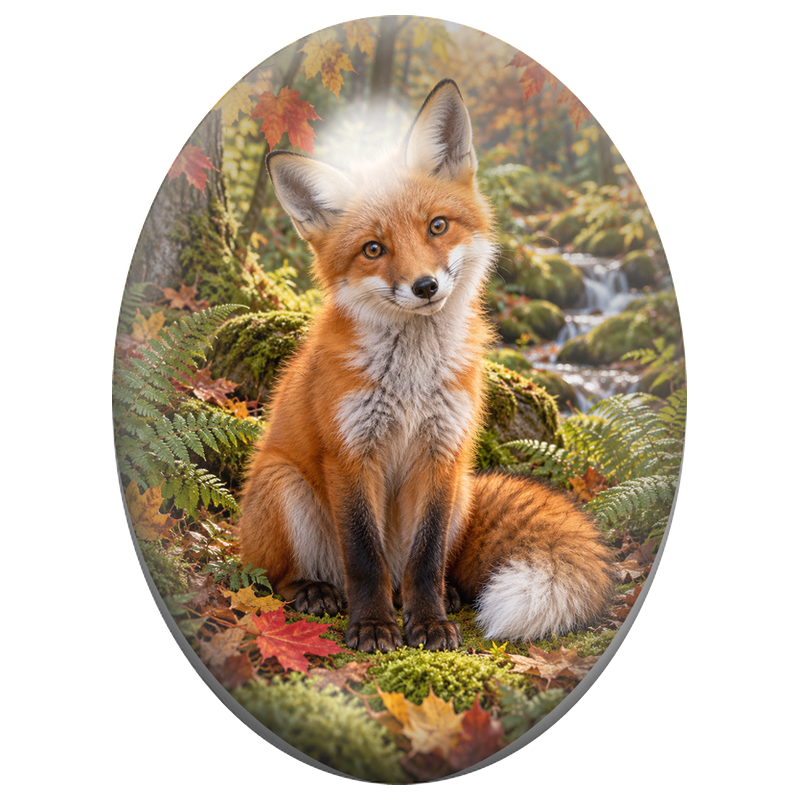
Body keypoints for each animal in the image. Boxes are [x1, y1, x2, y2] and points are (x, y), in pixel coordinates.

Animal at [237, 79, 614, 653]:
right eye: (374, 249)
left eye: (437, 226)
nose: (425, 286)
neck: (410, 383)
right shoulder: (350, 455)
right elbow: (363, 559)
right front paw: (373, 627)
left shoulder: (443, 451)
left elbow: (428, 558)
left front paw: (430, 622)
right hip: (284, 485)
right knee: (278, 575)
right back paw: (313, 591)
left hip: (462, 491)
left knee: (411, 572)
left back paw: (443, 598)